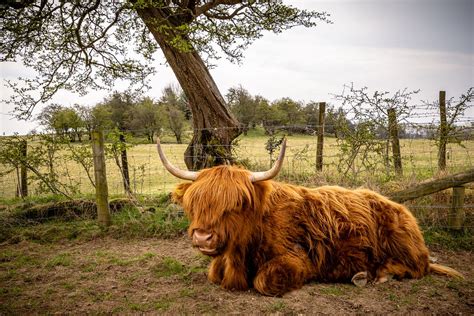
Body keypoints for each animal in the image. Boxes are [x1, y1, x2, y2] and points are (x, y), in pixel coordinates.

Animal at [156, 138, 462, 296]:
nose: (202, 236)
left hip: (402, 244)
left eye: (237, 203)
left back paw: (374, 276)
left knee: (416, 267)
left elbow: (265, 281)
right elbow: (213, 274)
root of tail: (399, 207)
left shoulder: (298, 259)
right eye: (195, 202)